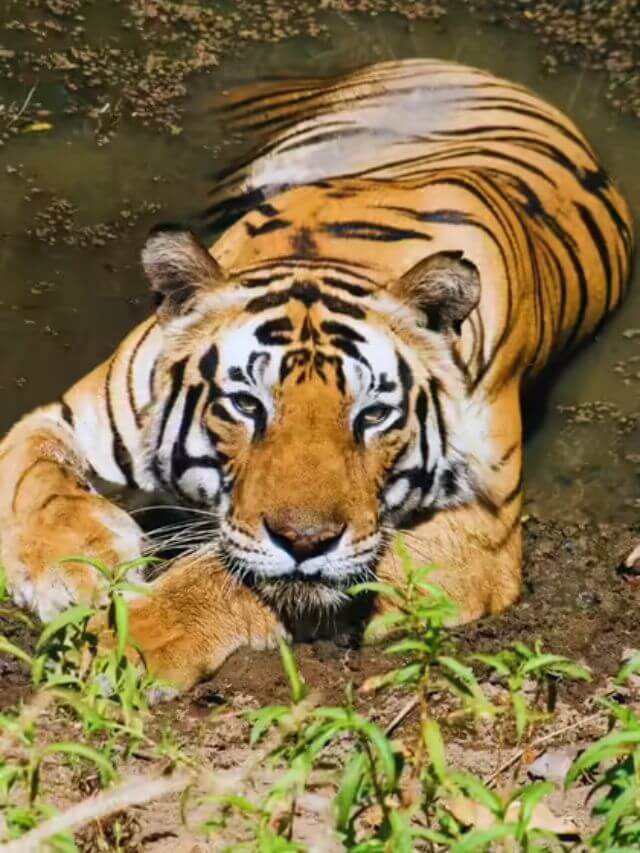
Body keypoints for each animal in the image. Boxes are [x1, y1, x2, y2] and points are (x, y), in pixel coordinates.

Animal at [0, 59, 634, 691]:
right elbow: (37, 479)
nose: (307, 543)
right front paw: (75, 565)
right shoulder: (67, 417)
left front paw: (128, 639)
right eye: (247, 405)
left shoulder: (481, 527)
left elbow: (230, 573)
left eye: (373, 415)